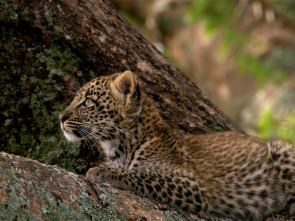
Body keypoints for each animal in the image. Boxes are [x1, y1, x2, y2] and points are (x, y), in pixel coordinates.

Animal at [59, 70, 295, 219]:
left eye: (88, 102)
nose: (60, 117)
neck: (118, 147)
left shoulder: (192, 184)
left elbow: (141, 176)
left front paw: (101, 172)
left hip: (284, 152)